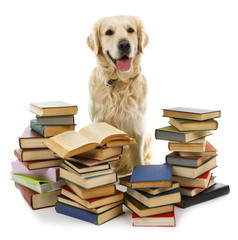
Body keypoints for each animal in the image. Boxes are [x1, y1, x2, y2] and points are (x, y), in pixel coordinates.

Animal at [86, 15, 152, 175]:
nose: (124, 44)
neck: (120, 81)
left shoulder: (137, 126)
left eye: (131, 30)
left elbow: (138, 158)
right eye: (109, 32)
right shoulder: (99, 122)